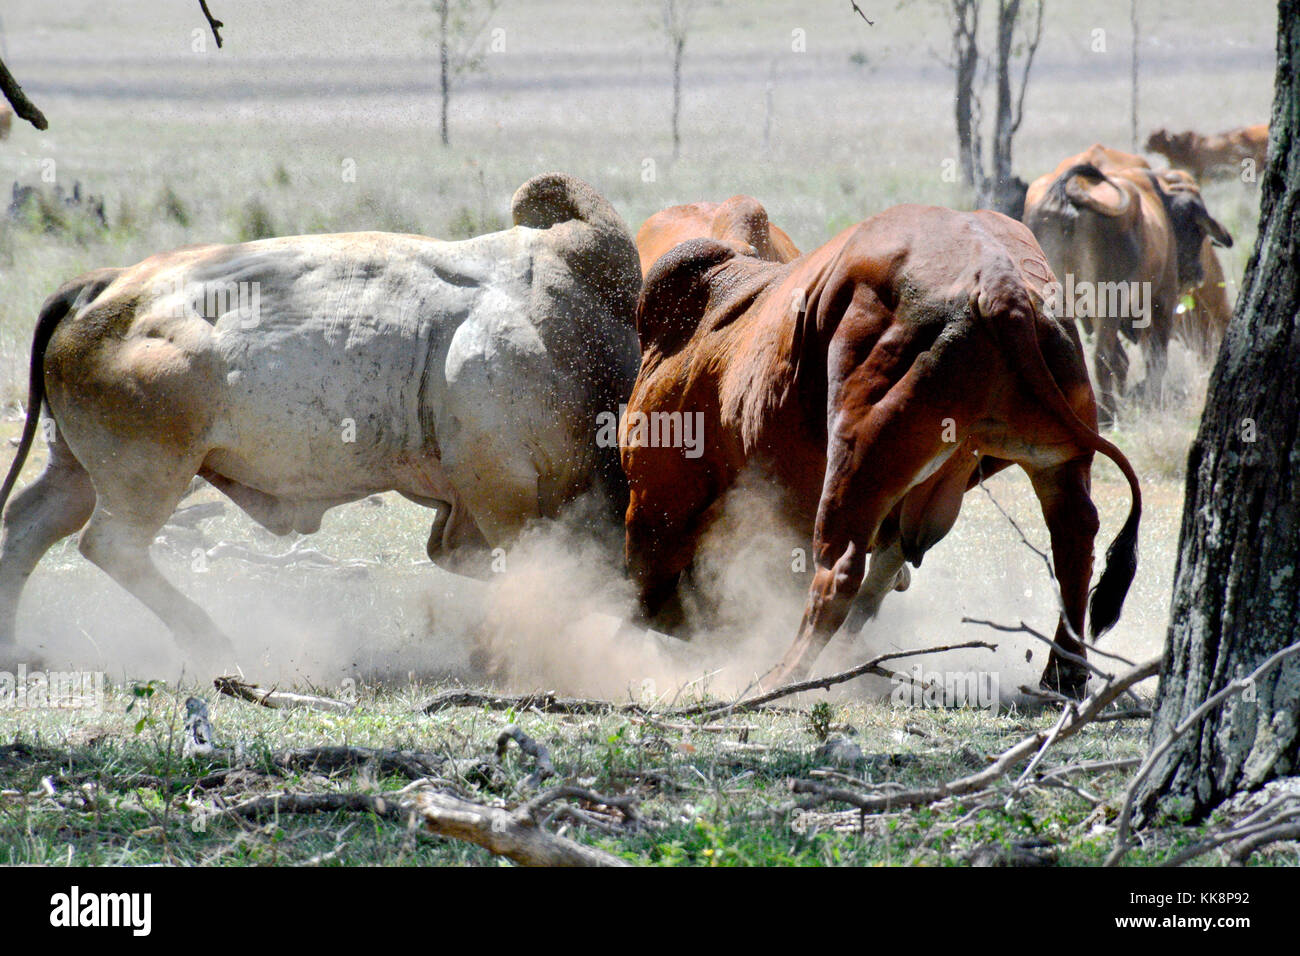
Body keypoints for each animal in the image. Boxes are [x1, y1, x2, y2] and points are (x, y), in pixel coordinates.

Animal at [0, 171, 639, 671]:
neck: (582, 343)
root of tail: (102, 287)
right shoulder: (503, 488)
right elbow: (540, 575)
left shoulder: (469, 511)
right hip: (148, 474)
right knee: (110, 546)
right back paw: (213, 641)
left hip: (76, 469)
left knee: (26, 524)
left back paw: (14, 649)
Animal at [624, 204, 1144, 697]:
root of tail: (1002, 286)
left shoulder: (656, 500)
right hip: (1055, 458)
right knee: (1075, 538)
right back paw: (1064, 674)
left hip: (857, 458)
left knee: (838, 573)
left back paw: (781, 678)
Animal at [1024, 143, 1227, 421]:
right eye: (1197, 229)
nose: (1197, 272)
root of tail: (1071, 191)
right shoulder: (1161, 301)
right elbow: (1156, 357)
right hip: (1107, 303)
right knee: (1103, 357)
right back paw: (1107, 413)